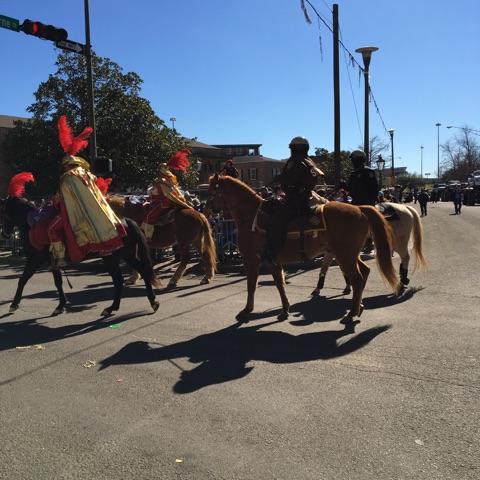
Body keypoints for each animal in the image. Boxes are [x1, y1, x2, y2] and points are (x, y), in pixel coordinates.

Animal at [208, 174, 400, 320]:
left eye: (212, 191)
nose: (208, 209)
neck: (251, 216)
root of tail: (359, 209)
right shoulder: (272, 261)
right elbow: (279, 283)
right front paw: (285, 309)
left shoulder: (252, 259)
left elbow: (252, 284)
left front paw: (247, 309)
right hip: (349, 254)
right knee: (364, 272)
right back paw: (358, 307)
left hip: (345, 255)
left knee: (357, 279)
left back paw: (352, 313)